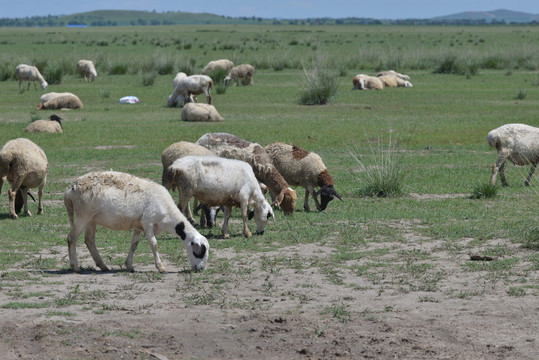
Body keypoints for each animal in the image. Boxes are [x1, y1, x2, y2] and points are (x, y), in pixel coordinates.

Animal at [62, 170, 208, 272]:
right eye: (200, 251)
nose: (200, 269)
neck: (168, 214)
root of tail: (70, 188)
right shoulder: (148, 223)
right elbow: (154, 244)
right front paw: (160, 267)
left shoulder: (139, 225)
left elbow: (134, 244)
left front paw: (129, 266)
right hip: (83, 215)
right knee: (71, 237)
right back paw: (75, 267)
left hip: (92, 219)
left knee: (89, 240)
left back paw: (102, 266)